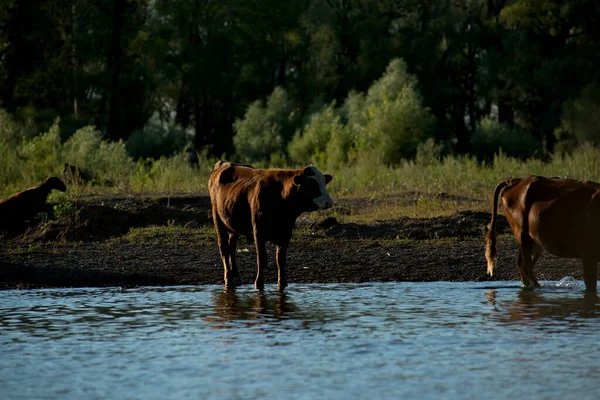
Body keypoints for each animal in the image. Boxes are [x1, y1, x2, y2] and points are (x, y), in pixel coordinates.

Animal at [210, 160, 332, 290]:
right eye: (312, 184)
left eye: (324, 182)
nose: (329, 202)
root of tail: (224, 163)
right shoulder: (258, 231)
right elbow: (262, 258)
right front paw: (258, 283)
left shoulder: (286, 231)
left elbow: (281, 259)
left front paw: (282, 283)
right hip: (218, 220)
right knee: (224, 249)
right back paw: (228, 278)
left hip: (233, 225)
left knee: (232, 248)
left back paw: (236, 277)